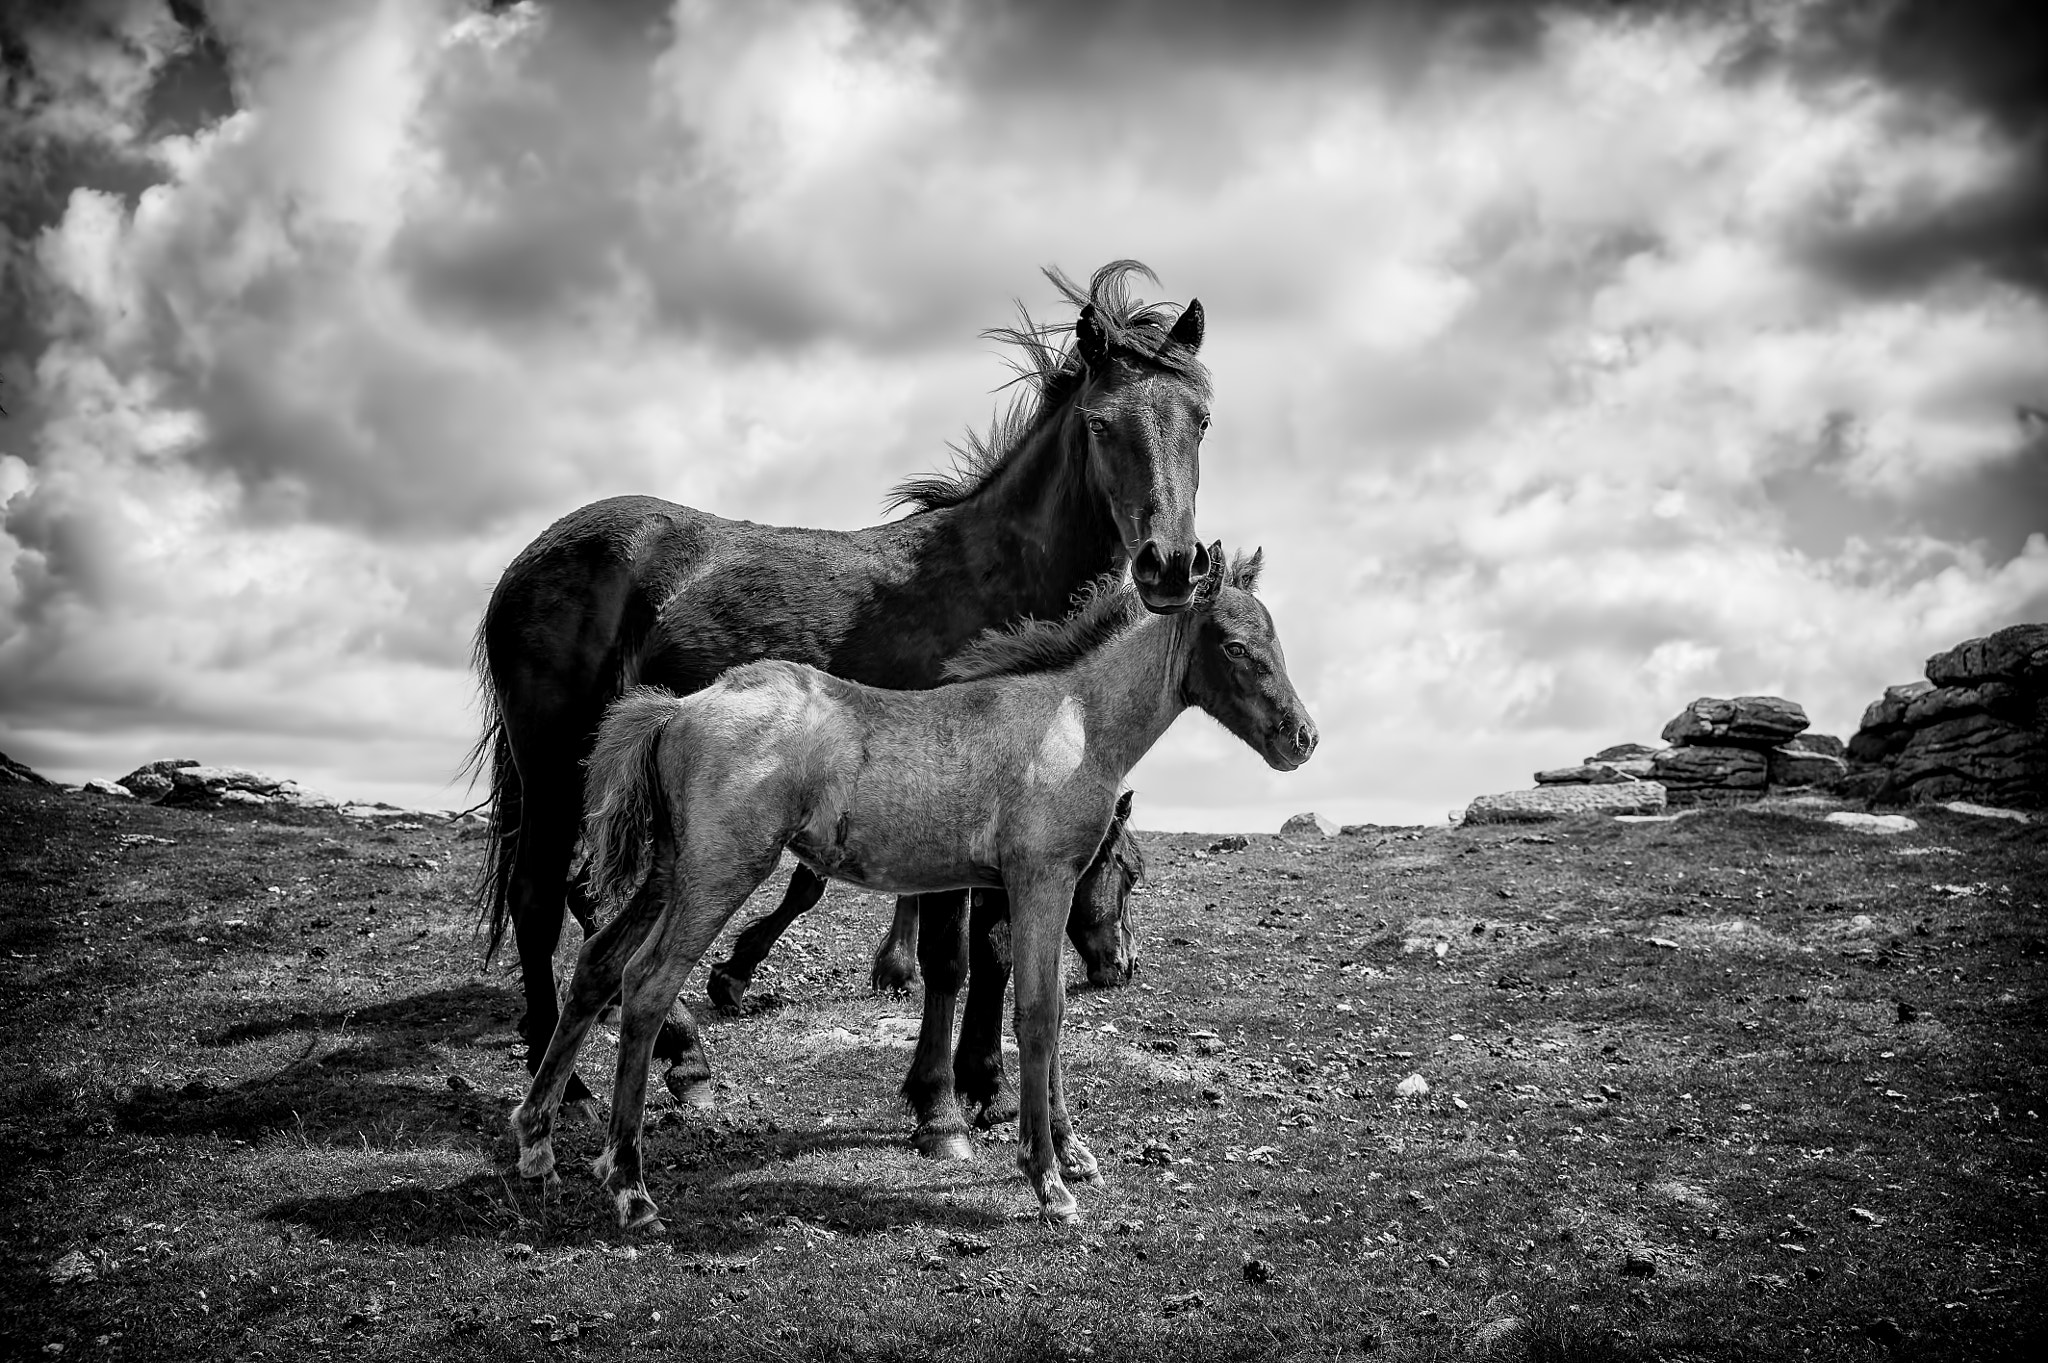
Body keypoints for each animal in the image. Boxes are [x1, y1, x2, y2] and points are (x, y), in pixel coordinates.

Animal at [471, 261, 1212, 1156]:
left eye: (1201, 421)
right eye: (1103, 425)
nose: (1171, 566)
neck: (992, 582)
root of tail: (530, 557)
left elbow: (998, 947)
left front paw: (991, 1091)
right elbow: (950, 954)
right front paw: (937, 1106)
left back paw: (681, 1058)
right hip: (551, 767)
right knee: (540, 899)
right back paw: (578, 1085)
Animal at [510, 545, 1315, 1226]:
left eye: (1278, 641)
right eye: (1235, 646)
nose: (1301, 738)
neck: (1074, 720)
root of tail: (679, 706)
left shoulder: (1035, 886)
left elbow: (1048, 1007)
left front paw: (1072, 1150)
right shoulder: (1041, 877)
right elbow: (1039, 1013)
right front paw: (1047, 1179)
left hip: (669, 871)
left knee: (597, 966)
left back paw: (537, 1143)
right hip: (718, 873)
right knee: (644, 985)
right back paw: (630, 1186)